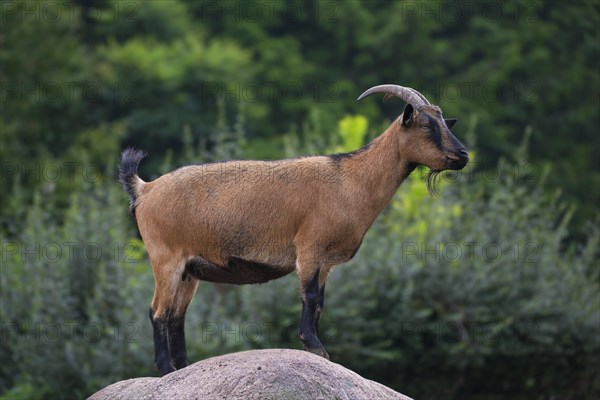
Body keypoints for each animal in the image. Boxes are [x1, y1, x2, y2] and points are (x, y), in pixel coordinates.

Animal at [117, 84, 468, 376]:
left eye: (445, 123)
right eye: (425, 125)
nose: (463, 155)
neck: (351, 179)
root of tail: (145, 189)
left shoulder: (326, 261)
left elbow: (320, 302)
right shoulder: (309, 247)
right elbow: (309, 296)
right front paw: (315, 347)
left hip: (190, 269)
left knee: (177, 314)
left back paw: (183, 367)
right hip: (166, 258)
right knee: (158, 311)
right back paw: (165, 369)